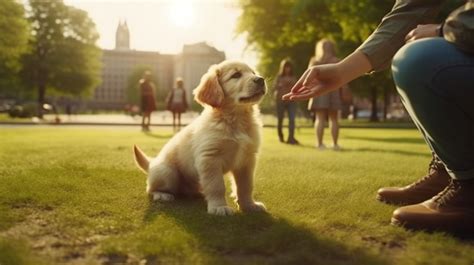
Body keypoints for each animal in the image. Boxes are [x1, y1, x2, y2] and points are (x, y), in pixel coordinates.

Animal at [133, 60, 266, 214]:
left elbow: (246, 186)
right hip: (167, 172)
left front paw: (249, 205)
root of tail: (151, 164)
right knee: (150, 188)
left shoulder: (247, 160)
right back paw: (162, 194)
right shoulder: (210, 158)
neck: (236, 119)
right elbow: (216, 186)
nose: (261, 79)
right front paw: (219, 207)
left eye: (253, 73)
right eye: (236, 75)